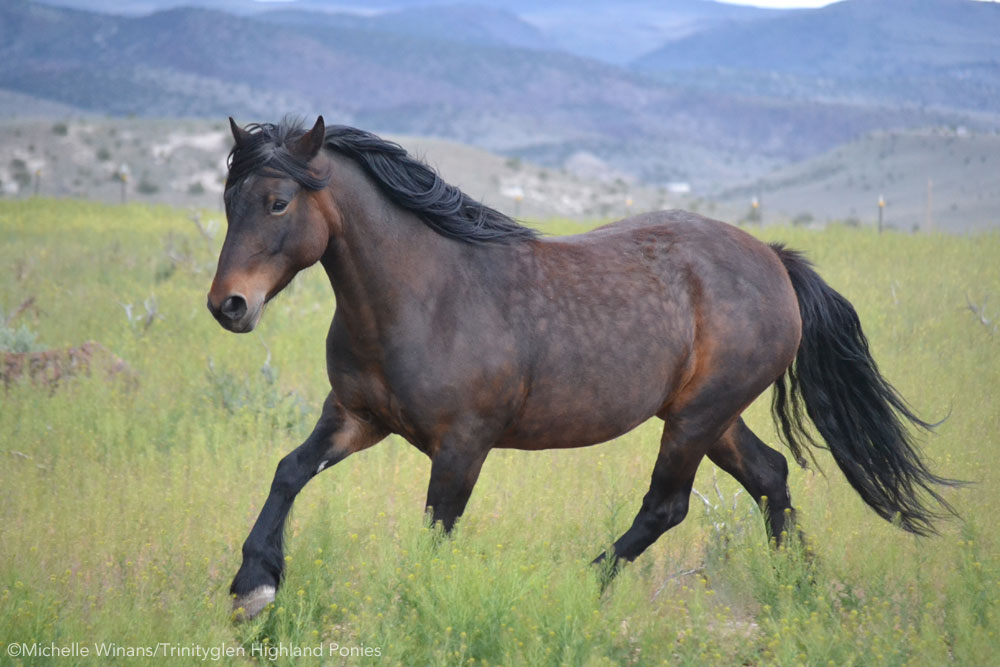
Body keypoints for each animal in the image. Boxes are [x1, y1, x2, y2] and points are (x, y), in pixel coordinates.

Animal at [207, 116, 956, 620]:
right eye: (228, 199)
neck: (425, 294)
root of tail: (773, 258)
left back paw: (577, 586)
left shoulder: (462, 445)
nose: (228, 305)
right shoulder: (355, 417)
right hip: (711, 418)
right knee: (771, 475)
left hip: (697, 418)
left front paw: (413, 603)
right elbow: (289, 471)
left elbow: (436, 528)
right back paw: (800, 589)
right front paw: (254, 587)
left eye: (278, 201)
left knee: (666, 506)